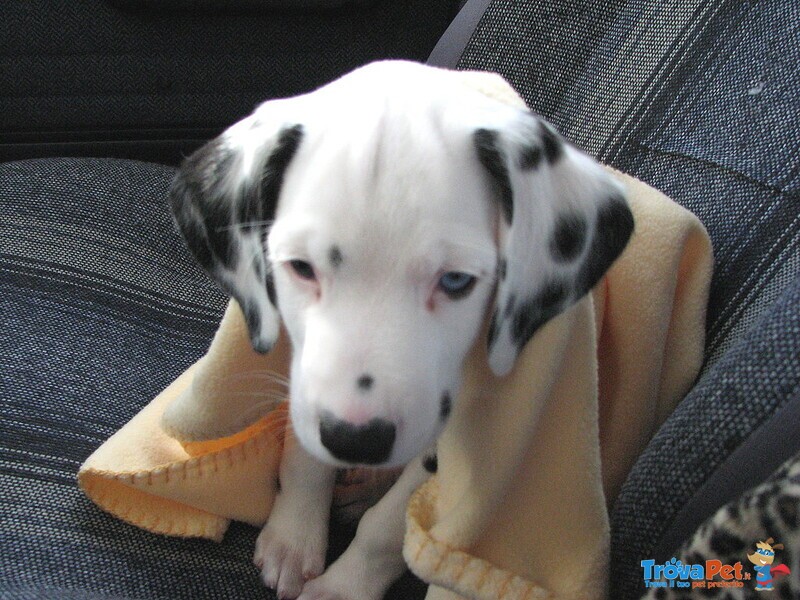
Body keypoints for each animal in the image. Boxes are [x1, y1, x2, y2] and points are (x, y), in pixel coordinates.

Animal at [169, 62, 632, 600]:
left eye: (456, 281)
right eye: (300, 267)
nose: (356, 441)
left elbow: (388, 529)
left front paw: (340, 589)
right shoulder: (306, 374)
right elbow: (306, 455)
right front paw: (294, 534)